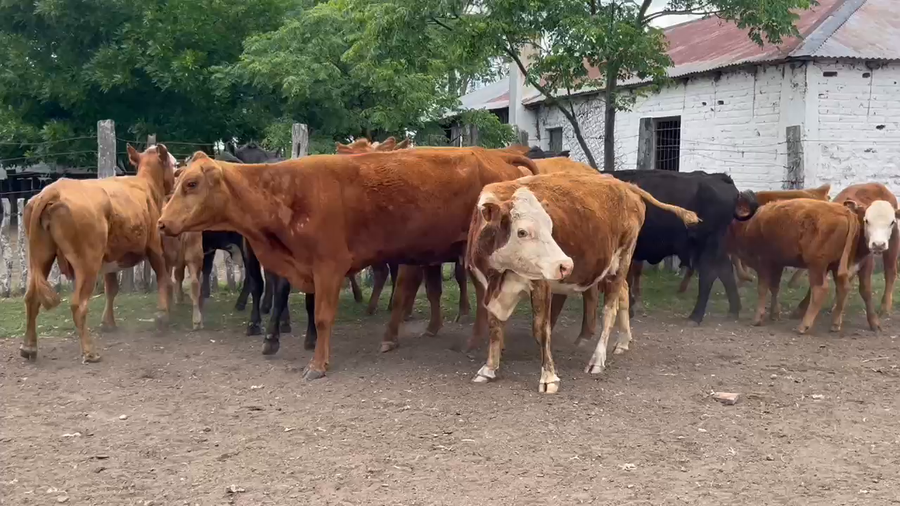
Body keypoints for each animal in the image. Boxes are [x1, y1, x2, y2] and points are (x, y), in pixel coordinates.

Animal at [22, 144, 174, 363]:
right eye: (173, 164)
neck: (146, 186)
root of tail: (52, 190)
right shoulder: (155, 247)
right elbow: (163, 279)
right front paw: (162, 316)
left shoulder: (110, 260)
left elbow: (112, 289)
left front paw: (108, 323)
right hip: (88, 263)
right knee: (79, 304)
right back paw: (90, 351)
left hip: (41, 258)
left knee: (32, 299)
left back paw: (29, 347)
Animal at [158, 147, 538, 379]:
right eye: (176, 180)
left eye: (191, 183)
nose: (161, 223)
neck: (287, 191)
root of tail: (498, 155)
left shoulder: (329, 266)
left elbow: (322, 317)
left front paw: (317, 364)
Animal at [466, 173, 699, 393]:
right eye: (522, 232)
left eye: (550, 227)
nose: (565, 265)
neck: (500, 273)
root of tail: (624, 185)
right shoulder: (487, 286)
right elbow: (494, 326)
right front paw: (489, 369)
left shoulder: (542, 283)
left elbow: (542, 329)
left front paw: (549, 379)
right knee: (624, 292)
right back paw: (624, 340)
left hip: (623, 258)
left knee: (610, 310)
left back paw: (597, 360)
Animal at [610, 170, 758, 323]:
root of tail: (719, 177)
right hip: (716, 248)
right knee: (725, 271)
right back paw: (733, 311)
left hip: (706, 247)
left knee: (709, 275)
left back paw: (696, 316)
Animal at [737, 194, 897, 333]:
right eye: (867, 220)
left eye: (892, 222)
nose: (878, 245)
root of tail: (845, 212)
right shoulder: (777, 262)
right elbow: (774, 287)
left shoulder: (763, 260)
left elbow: (763, 288)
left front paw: (758, 318)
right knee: (843, 288)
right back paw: (834, 324)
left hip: (817, 265)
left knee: (821, 289)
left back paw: (805, 325)